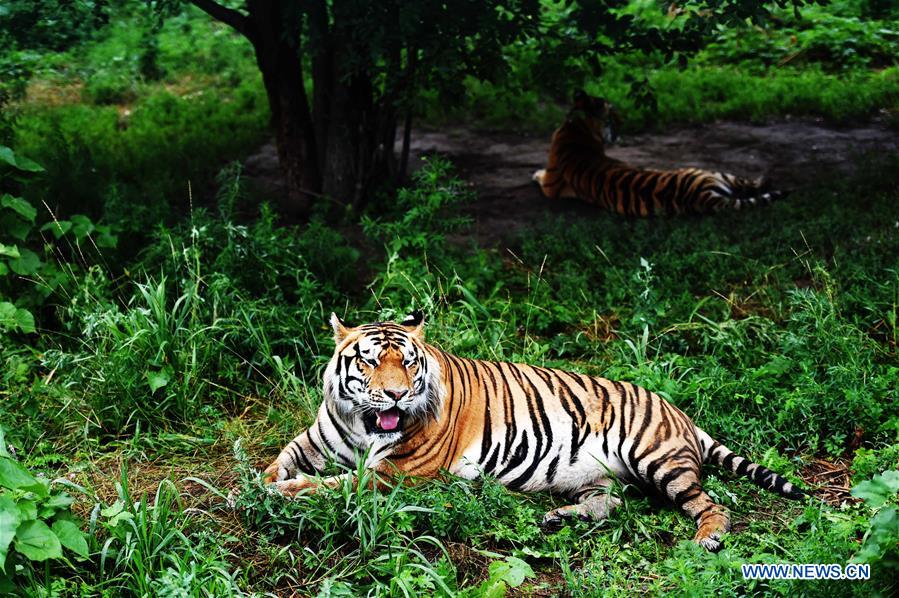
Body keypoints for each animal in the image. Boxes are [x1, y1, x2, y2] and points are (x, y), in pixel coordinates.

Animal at [264, 314, 804, 552]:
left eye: (409, 363)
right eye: (371, 361)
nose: (396, 395)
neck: (363, 422)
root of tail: (679, 412)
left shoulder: (399, 472)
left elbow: (335, 485)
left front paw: (285, 492)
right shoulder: (317, 438)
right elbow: (283, 458)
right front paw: (263, 481)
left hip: (657, 458)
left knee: (713, 504)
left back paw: (706, 539)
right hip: (595, 475)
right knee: (611, 503)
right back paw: (558, 519)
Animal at [532, 90, 784, 217]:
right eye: (612, 113)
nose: (624, 121)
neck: (578, 127)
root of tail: (703, 196)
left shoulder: (551, 185)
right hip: (710, 172)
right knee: (750, 183)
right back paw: (765, 178)